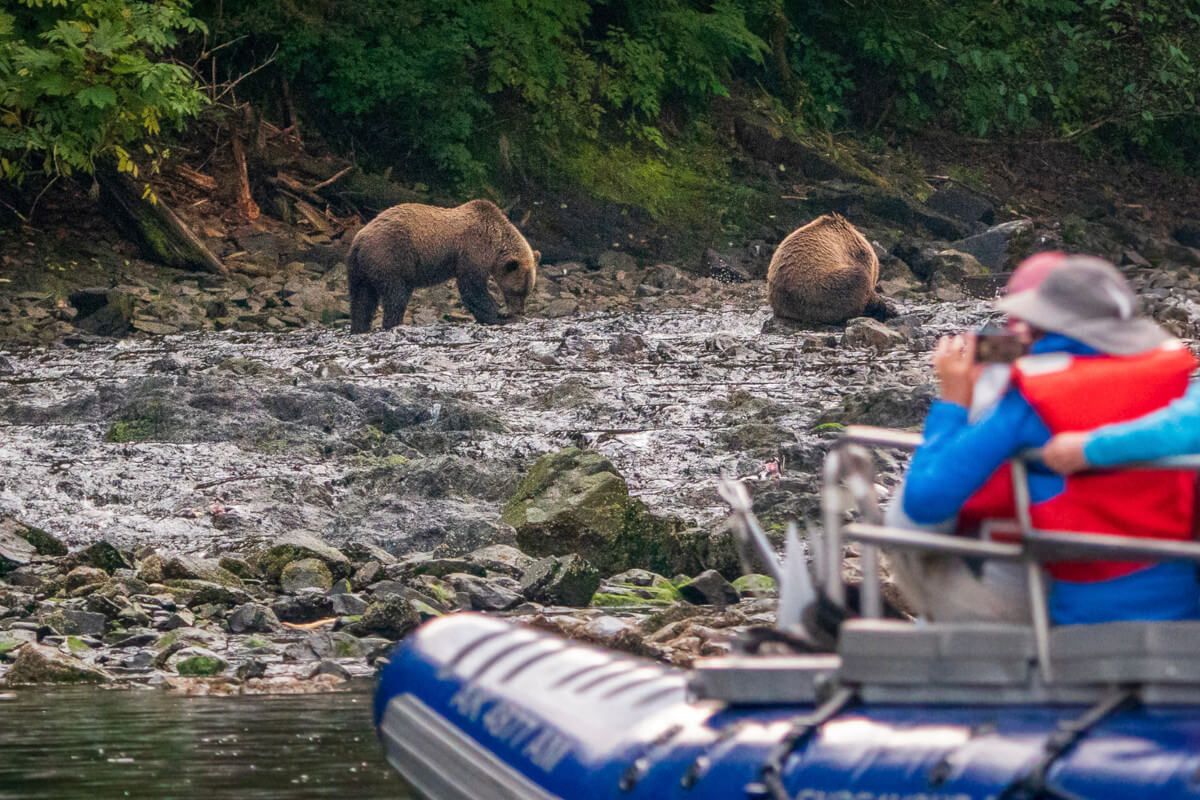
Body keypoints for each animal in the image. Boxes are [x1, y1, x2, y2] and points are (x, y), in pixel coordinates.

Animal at [345, 199, 537, 331]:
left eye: (527, 292)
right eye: (517, 291)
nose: (520, 311)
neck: (497, 243)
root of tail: (359, 239)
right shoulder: (474, 248)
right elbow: (472, 287)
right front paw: (499, 316)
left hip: (360, 268)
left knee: (362, 299)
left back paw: (359, 327)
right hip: (389, 256)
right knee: (395, 294)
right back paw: (394, 323)